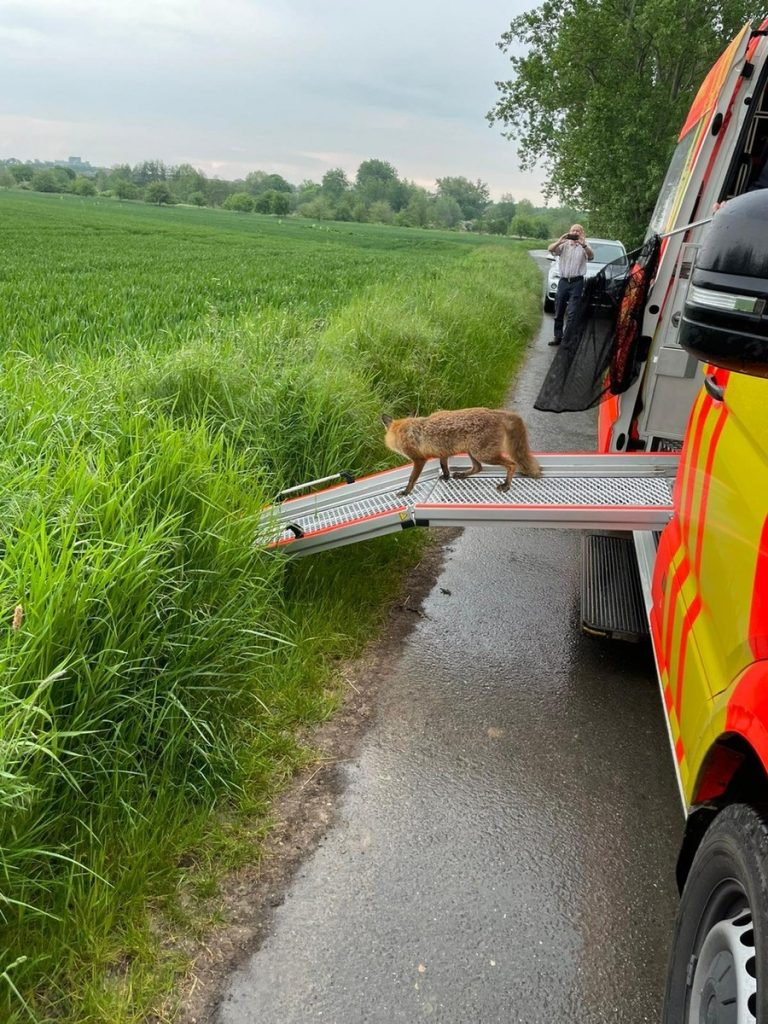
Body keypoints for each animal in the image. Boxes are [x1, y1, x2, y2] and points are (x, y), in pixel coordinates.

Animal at [382, 407, 540, 495]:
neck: (403, 430)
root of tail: (493, 412)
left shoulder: (419, 459)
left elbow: (411, 479)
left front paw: (406, 492)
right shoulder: (443, 452)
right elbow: (443, 466)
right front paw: (446, 477)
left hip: (483, 454)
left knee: (512, 464)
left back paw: (506, 485)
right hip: (473, 452)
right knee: (478, 468)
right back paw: (462, 474)